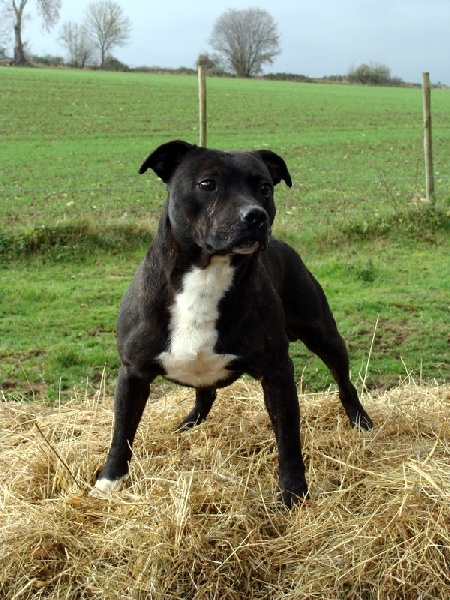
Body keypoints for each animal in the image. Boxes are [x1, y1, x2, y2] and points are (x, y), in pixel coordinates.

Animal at [92, 140, 373, 507]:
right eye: (207, 184)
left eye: (265, 187)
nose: (255, 216)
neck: (208, 274)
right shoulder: (133, 372)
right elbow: (122, 429)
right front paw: (110, 479)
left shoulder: (277, 372)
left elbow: (288, 438)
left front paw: (293, 492)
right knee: (205, 395)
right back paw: (187, 425)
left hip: (323, 333)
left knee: (344, 381)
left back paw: (360, 420)